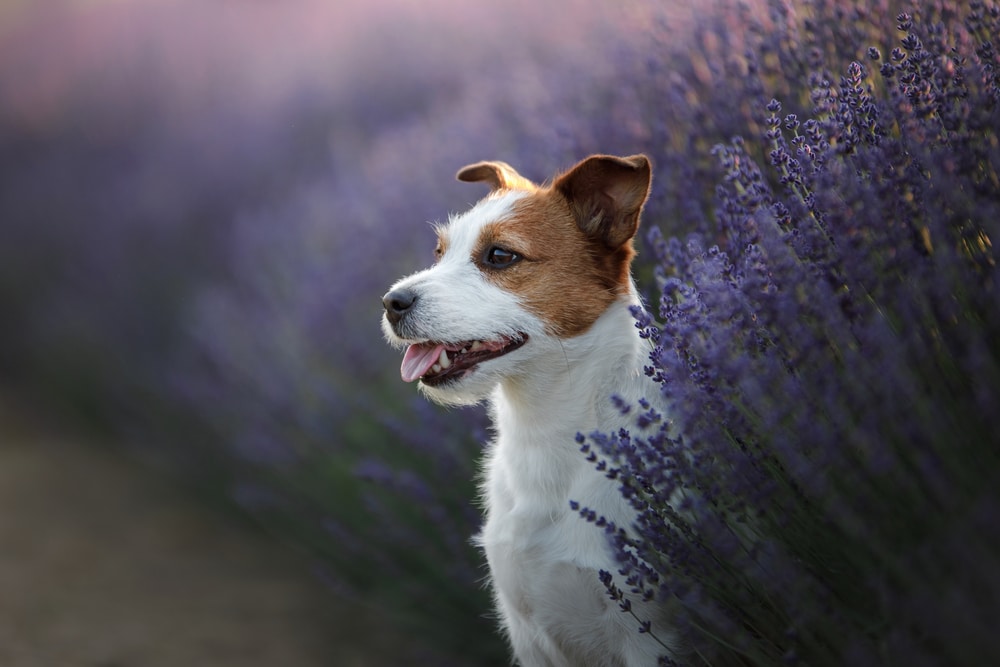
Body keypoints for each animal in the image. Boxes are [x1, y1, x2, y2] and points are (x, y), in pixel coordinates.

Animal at [382, 154, 680, 664]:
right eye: (440, 252)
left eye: (501, 256)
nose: (391, 302)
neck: (543, 432)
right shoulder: (527, 632)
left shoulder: (647, 637)